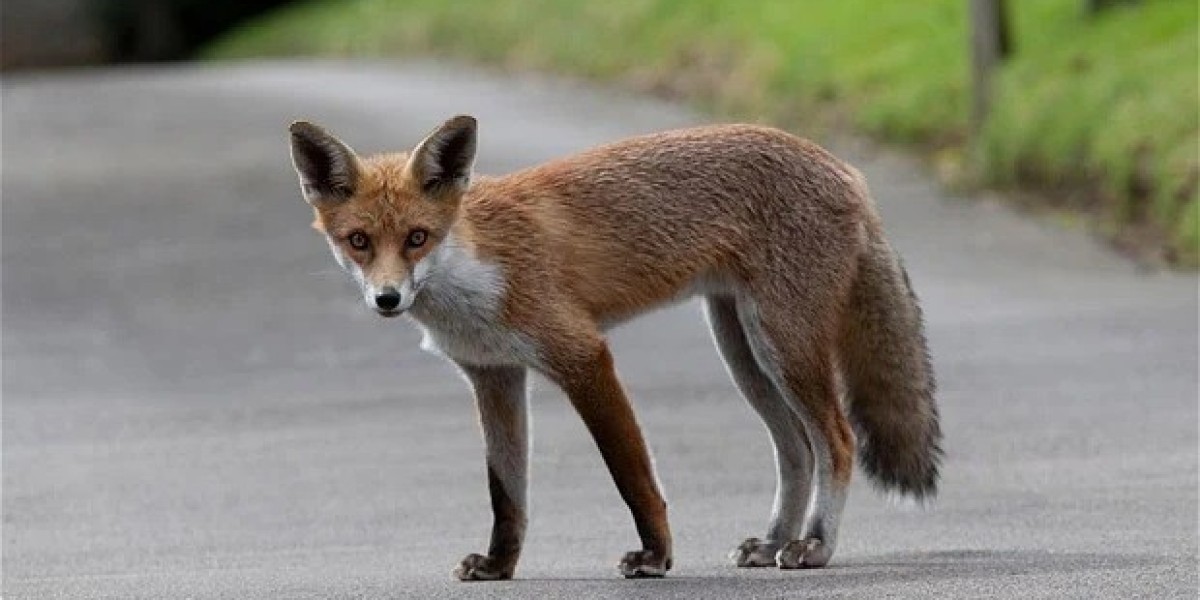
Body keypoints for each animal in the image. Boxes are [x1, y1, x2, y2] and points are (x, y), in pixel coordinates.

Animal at [287, 115, 942, 580]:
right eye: (359, 242)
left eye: (418, 238)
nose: (388, 299)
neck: (475, 271)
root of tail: (844, 168)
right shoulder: (494, 375)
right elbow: (507, 493)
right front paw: (500, 566)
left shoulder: (582, 354)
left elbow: (631, 474)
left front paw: (655, 557)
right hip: (743, 351)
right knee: (795, 449)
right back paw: (776, 540)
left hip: (783, 345)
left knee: (837, 440)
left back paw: (815, 546)